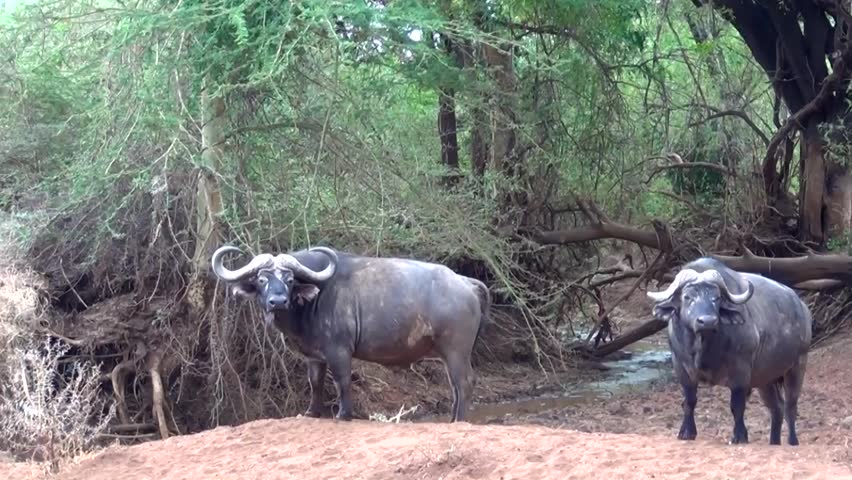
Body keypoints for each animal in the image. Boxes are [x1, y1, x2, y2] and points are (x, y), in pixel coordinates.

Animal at [211, 245, 490, 422]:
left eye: (289, 280)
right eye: (261, 279)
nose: (277, 301)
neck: (314, 299)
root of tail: (465, 282)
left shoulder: (339, 351)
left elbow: (342, 381)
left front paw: (343, 414)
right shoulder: (314, 356)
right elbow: (315, 382)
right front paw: (312, 412)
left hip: (456, 351)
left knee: (464, 383)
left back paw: (458, 420)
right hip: (447, 354)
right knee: (455, 387)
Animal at [646, 257, 812, 445]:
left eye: (716, 298)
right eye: (687, 297)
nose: (707, 321)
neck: (702, 347)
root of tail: (802, 308)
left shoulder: (741, 372)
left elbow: (737, 406)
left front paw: (740, 435)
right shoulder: (681, 367)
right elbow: (689, 401)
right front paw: (687, 432)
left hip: (797, 365)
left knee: (790, 406)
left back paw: (792, 441)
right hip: (766, 379)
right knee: (777, 408)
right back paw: (774, 442)